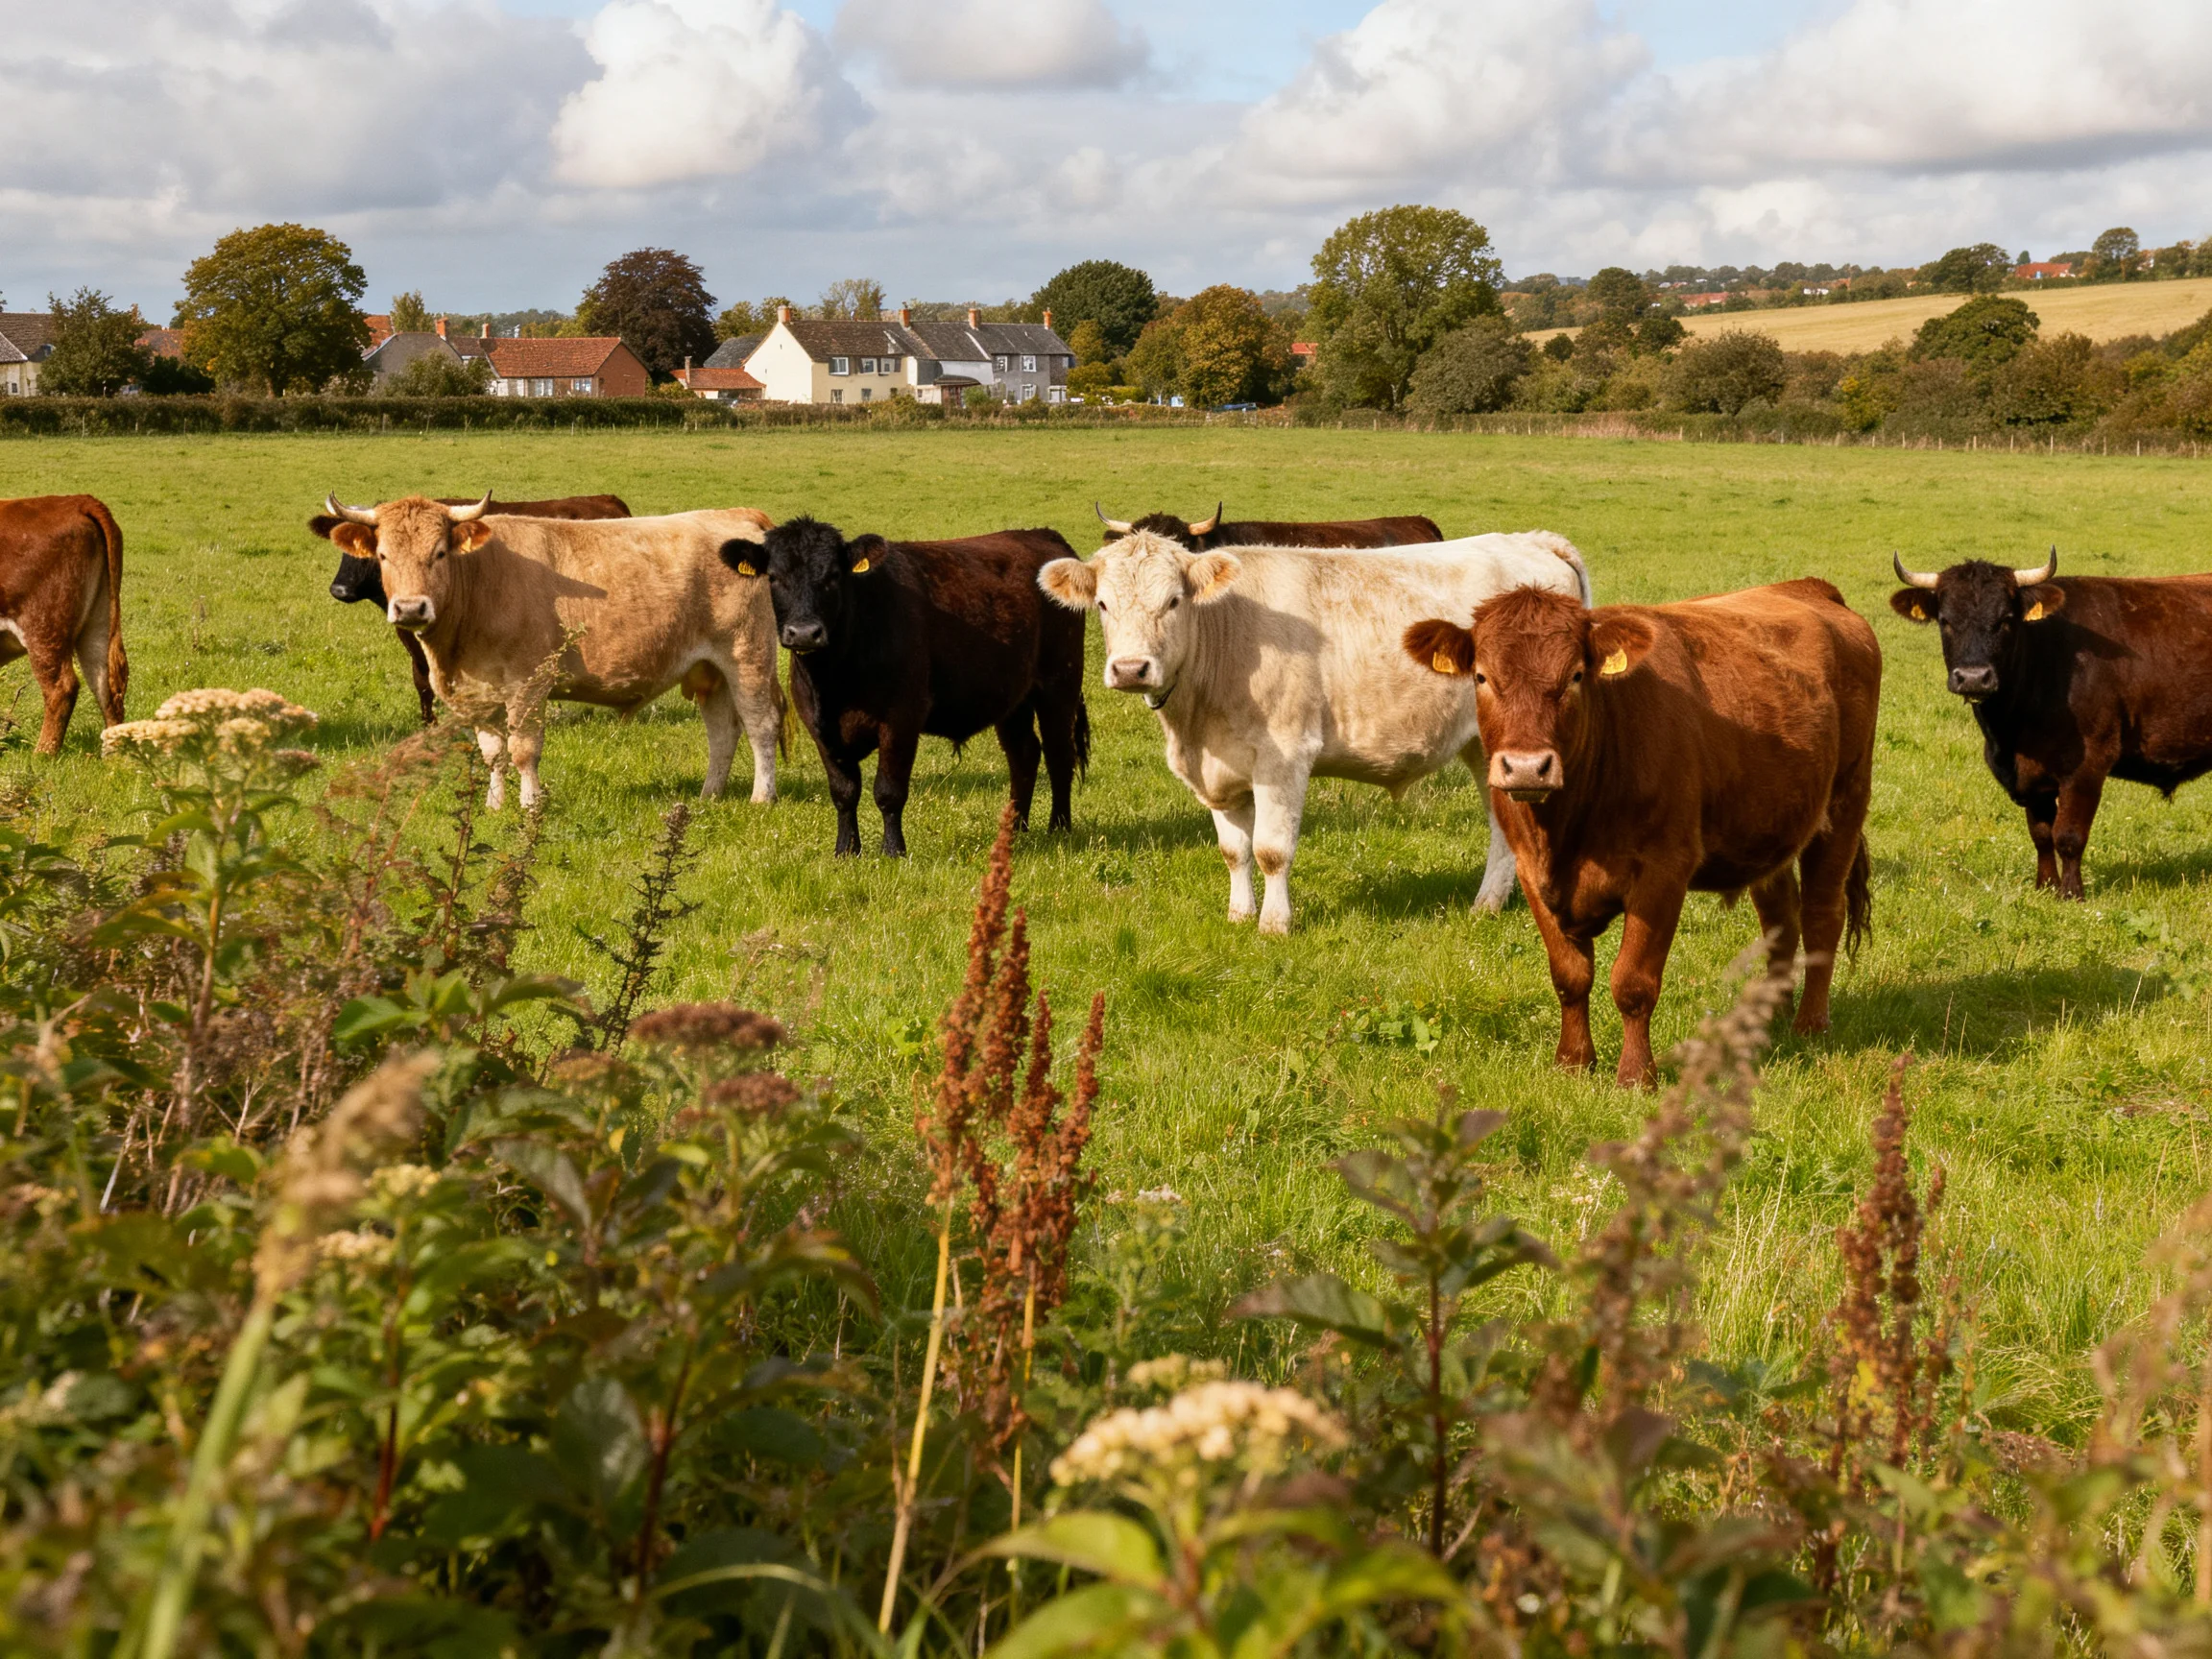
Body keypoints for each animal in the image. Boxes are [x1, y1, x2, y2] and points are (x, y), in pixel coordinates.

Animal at [0, 495, 127, 753]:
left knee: (62, 687)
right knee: (108, 685)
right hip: (99, 624)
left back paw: (43, 753)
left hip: (44, 628)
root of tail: (76, 500)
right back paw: (114, 755)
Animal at [722, 517, 1088, 856]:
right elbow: (843, 791)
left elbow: (889, 790)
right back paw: (1015, 828)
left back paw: (1059, 828)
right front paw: (846, 850)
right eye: (774, 577)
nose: (803, 633)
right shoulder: (819, 726)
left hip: (1060, 684)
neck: (834, 679)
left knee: (1059, 754)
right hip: (1014, 699)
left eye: (834, 576)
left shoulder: (901, 718)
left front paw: (893, 850)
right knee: (1024, 754)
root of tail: (1042, 535)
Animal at [1038, 529, 1592, 934]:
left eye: (1174, 601)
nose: (1131, 669)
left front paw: (1274, 925)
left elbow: (1271, 849)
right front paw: (1239, 916)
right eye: (1103, 605)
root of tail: (1531, 540)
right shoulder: (1218, 769)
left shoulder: (1284, 756)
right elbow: (1234, 850)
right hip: (1484, 744)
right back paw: (1489, 905)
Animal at [1404, 579, 1880, 1087]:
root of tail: (1809, 588)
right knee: (1780, 920)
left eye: (1576, 676)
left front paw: (1635, 1076)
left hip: (1845, 802)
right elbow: (1569, 976)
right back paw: (1768, 1018)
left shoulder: (1663, 871)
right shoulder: (1530, 871)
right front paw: (1573, 1063)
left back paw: (1810, 1024)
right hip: (1771, 825)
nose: (1528, 767)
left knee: (1821, 915)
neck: (1565, 832)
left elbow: (1633, 981)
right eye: (1481, 677)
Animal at [1891, 549, 2212, 899]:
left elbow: (2068, 836)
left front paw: (2071, 893)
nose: (1974, 677)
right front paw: (2045, 886)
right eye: (1945, 621)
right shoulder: (2033, 779)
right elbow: (2041, 835)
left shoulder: (2086, 766)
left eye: (2006, 619)